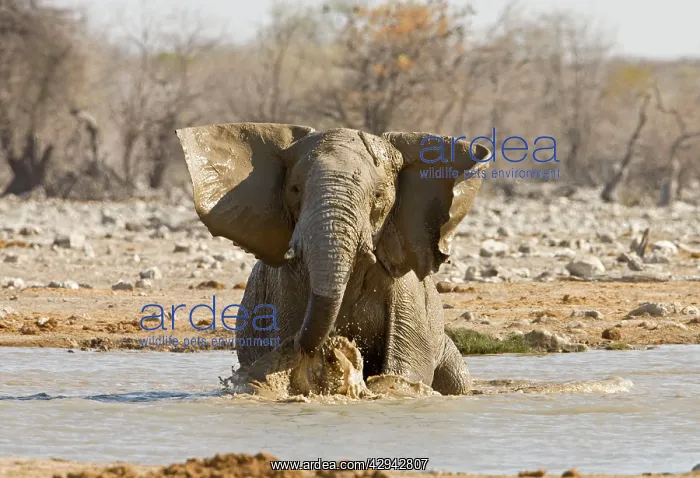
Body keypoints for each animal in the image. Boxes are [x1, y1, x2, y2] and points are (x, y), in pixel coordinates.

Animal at [176, 123, 491, 395]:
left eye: (379, 196)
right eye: (295, 190)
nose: (331, 348)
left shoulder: (407, 288)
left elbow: (407, 365)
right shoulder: (285, 285)